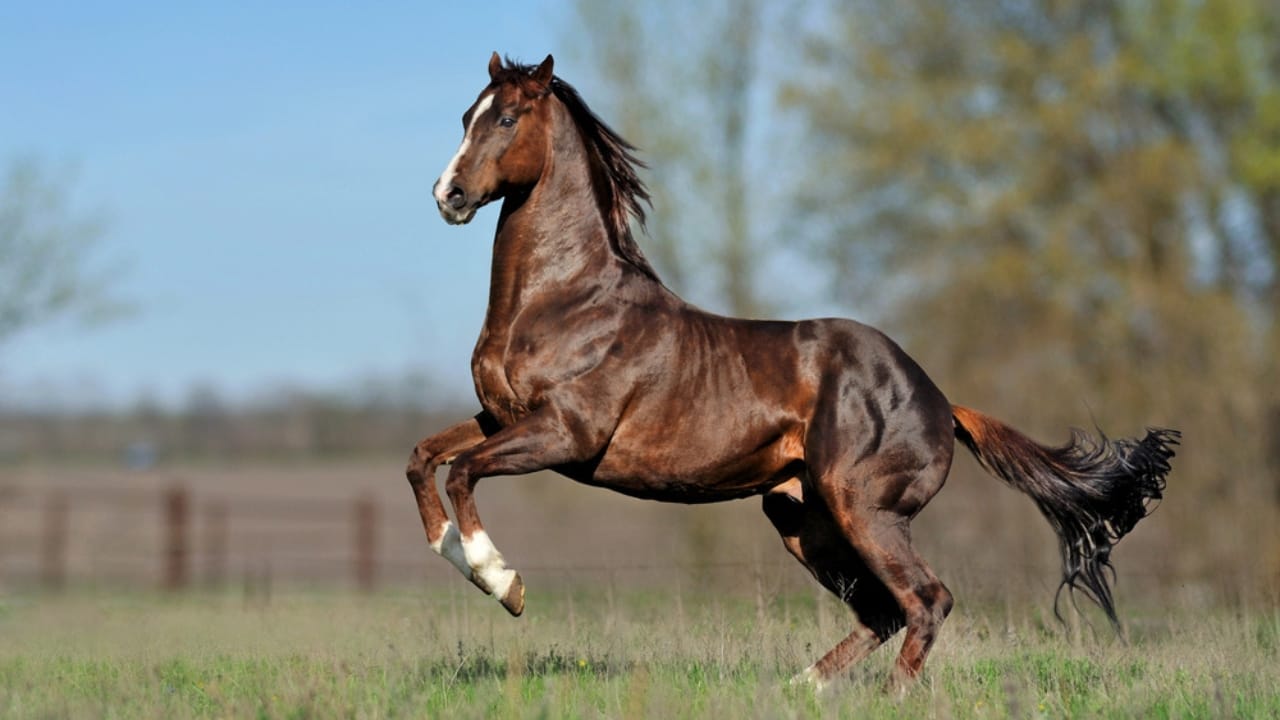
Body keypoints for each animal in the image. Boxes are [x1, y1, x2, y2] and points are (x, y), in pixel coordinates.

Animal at [406, 52, 1179, 690]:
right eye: (467, 116)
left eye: (507, 118)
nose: (447, 195)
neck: (566, 300)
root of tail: (941, 401)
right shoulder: (501, 418)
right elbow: (424, 459)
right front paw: (455, 553)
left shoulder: (566, 435)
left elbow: (464, 471)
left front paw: (503, 583)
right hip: (802, 517)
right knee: (882, 613)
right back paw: (799, 688)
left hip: (863, 508)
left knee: (926, 601)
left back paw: (886, 697)